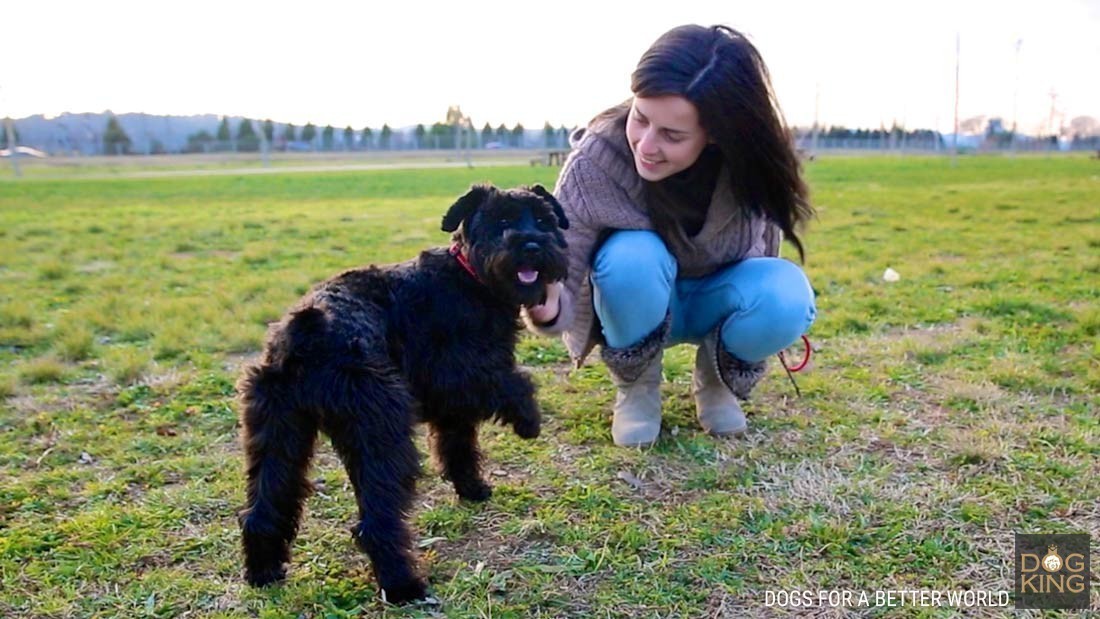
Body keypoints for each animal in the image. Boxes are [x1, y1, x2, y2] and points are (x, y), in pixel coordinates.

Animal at [237, 182, 572, 602]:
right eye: (502, 221)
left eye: (543, 220)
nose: (531, 245)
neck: (471, 278)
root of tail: (308, 331)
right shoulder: (461, 375)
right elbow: (515, 381)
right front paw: (528, 421)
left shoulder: (451, 407)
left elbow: (457, 444)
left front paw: (471, 488)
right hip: (382, 435)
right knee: (376, 523)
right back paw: (403, 586)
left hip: (277, 431)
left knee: (264, 508)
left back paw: (263, 571)